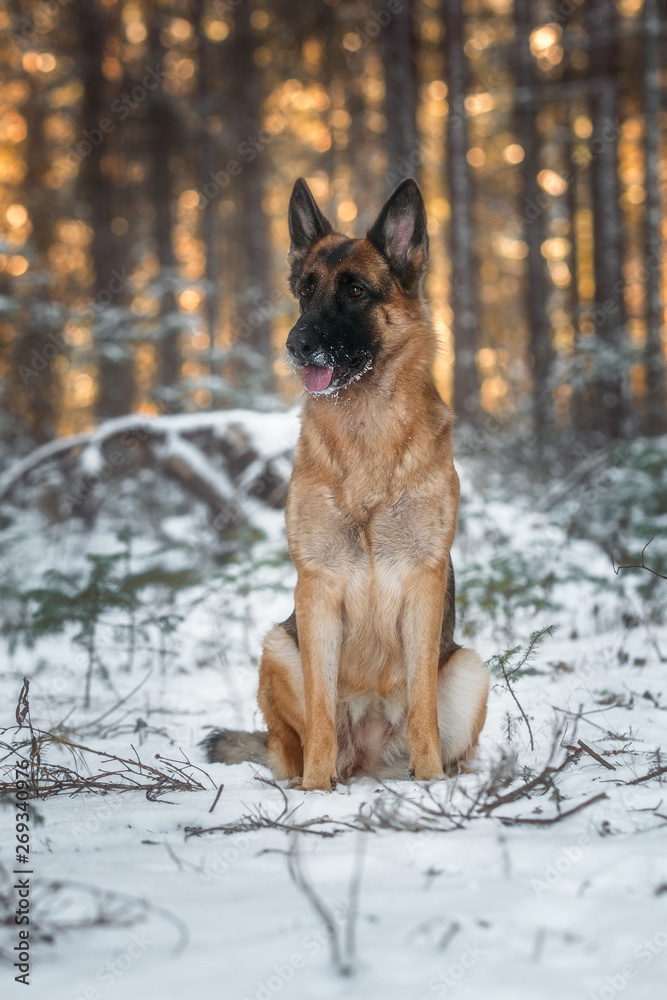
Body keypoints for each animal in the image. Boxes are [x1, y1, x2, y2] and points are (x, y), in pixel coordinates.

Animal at [205, 178, 490, 788]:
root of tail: (369, 760)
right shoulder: (317, 587)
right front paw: (315, 792)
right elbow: (319, 712)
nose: (295, 344)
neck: (367, 435)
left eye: (356, 291)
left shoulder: (423, 582)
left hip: (471, 667)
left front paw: (431, 785)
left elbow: (424, 708)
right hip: (278, 647)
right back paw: (309, 778)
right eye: (305, 291)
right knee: (295, 742)